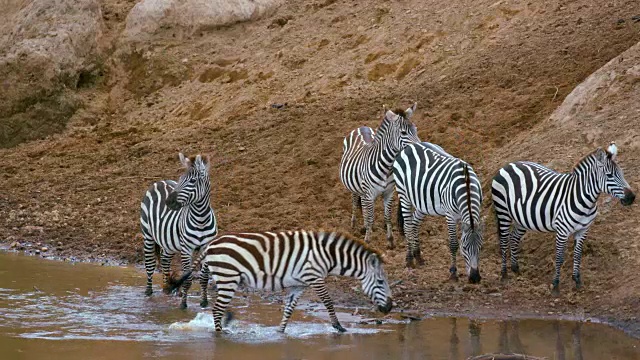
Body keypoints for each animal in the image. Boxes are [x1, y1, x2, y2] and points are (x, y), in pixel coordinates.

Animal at [139, 153, 219, 308]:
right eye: (180, 179)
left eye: (193, 181)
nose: (168, 202)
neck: (201, 219)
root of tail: (160, 181)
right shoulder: (186, 248)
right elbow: (187, 278)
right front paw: (183, 305)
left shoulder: (205, 248)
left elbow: (204, 278)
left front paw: (204, 302)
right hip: (148, 235)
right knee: (150, 265)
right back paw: (149, 292)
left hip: (169, 242)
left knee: (165, 260)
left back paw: (167, 288)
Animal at [168, 231, 392, 334]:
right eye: (381, 282)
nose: (389, 308)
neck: (327, 256)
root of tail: (211, 244)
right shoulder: (315, 277)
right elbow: (328, 302)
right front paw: (339, 327)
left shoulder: (298, 285)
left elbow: (289, 309)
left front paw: (280, 332)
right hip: (228, 277)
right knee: (216, 309)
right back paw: (221, 333)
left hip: (226, 278)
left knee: (217, 307)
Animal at [338, 103, 422, 250]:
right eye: (403, 133)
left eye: (415, 129)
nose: (420, 147)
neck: (386, 167)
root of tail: (362, 127)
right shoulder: (369, 194)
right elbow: (371, 218)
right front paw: (367, 241)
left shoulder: (388, 193)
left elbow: (387, 216)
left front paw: (390, 241)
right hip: (355, 187)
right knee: (354, 201)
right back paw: (354, 224)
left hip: (363, 191)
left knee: (363, 206)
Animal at [390, 142, 484, 282]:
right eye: (464, 247)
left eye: (481, 247)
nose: (475, 278)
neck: (466, 185)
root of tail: (410, 146)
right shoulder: (450, 216)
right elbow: (453, 244)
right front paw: (453, 273)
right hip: (403, 194)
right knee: (407, 226)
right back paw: (409, 260)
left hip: (423, 202)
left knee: (414, 223)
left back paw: (418, 256)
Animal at [492, 142, 632, 294]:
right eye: (609, 175)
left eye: (622, 173)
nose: (632, 197)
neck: (585, 200)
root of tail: (509, 164)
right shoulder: (562, 231)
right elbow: (559, 258)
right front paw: (556, 285)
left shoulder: (583, 230)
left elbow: (577, 255)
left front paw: (577, 281)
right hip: (503, 211)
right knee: (504, 240)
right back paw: (504, 274)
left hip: (522, 218)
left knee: (514, 238)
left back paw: (516, 269)